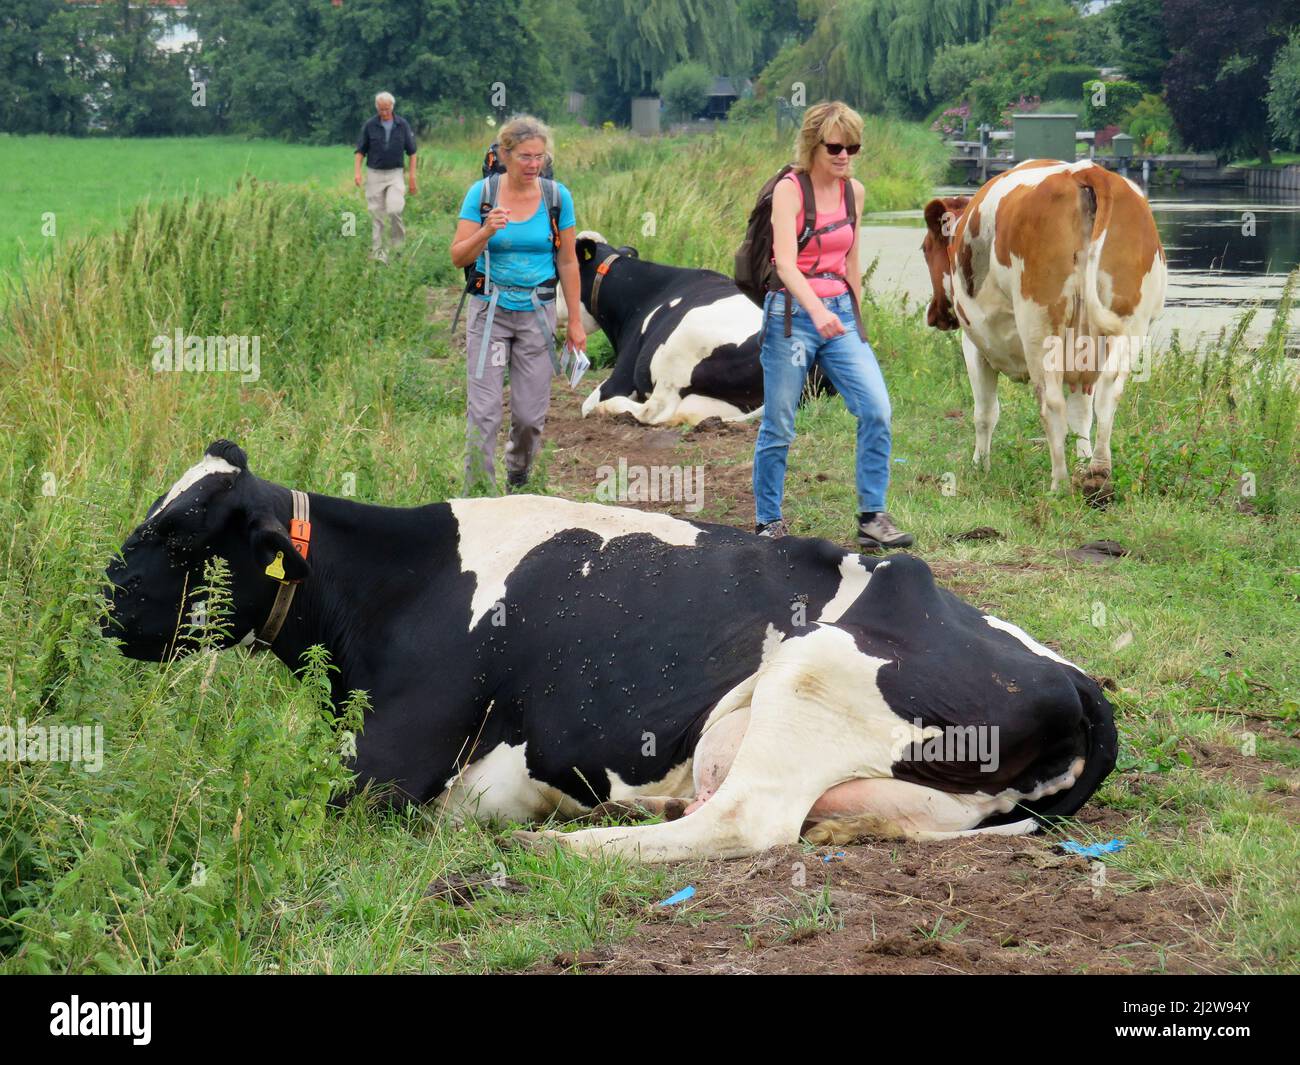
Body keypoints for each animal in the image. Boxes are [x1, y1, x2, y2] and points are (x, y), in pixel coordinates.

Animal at [103, 440, 1118, 863]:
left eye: (183, 536)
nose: (100, 601)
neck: (403, 584)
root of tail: (1075, 676)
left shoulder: (386, 767)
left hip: (814, 669)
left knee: (744, 818)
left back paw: (571, 847)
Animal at [921, 159, 1166, 501]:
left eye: (925, 248)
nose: (934, 315)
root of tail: (1086, 171)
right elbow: (1081, 415)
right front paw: (1082, 467)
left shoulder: (975, 347)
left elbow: (985, 412)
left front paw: (979, 467)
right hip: (1131, 324)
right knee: (1108, 394)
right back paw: (1098, 477)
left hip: (1039, 324)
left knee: (1051, 403)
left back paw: (1059, 484)